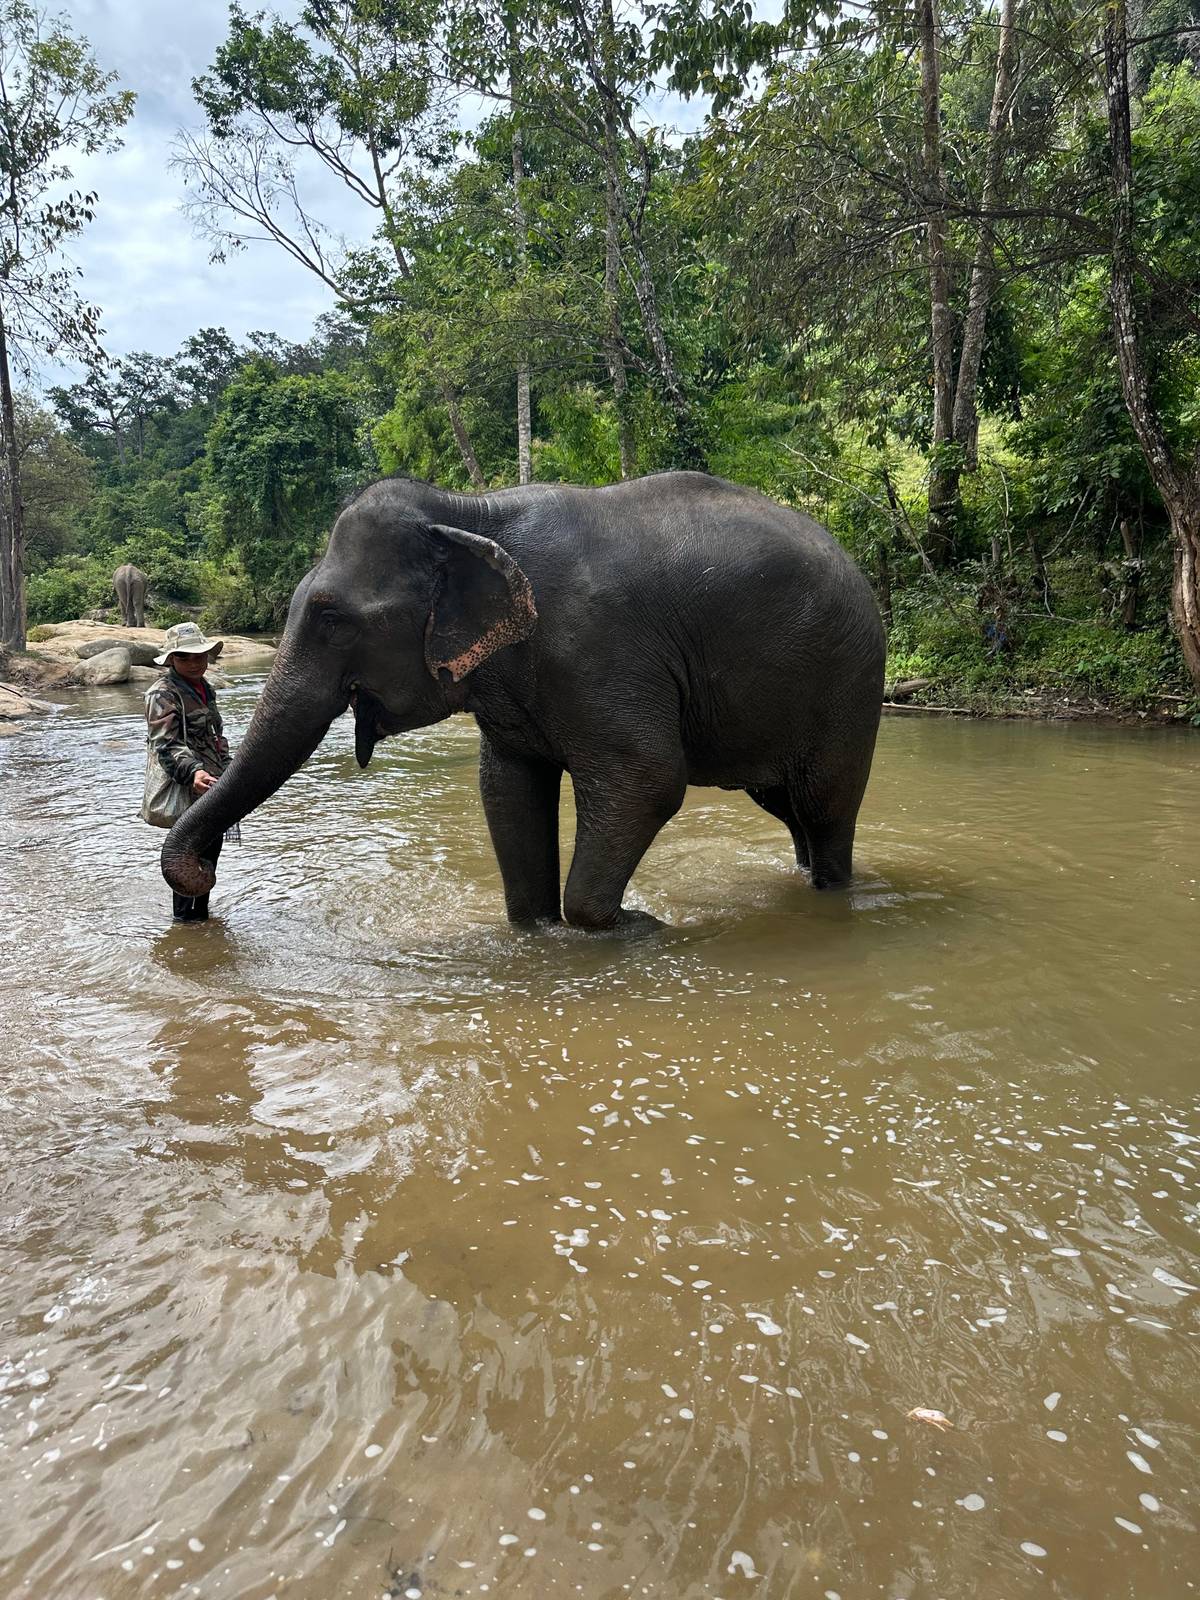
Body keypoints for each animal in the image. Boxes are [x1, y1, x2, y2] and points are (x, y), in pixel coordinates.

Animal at [162, 472, 886, 930]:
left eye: (331, 617)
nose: (202, 878)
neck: (469, 511)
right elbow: (506, 788)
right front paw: (537, 930)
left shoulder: (600, 646)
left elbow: (648, 778)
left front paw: (633, 924)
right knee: (786, 806)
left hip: (849, 682)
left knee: (824, 806)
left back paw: (834, 893)